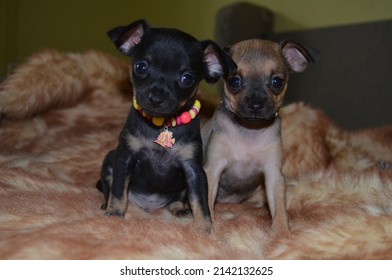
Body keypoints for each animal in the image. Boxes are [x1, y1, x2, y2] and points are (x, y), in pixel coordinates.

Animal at [98, 19, 234, 230]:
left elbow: (200, 201)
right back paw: (107, 204)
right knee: (108, 188)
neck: (162, 124)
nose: (156, 98)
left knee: (178, 199)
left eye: (187, 78)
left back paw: (180, 210)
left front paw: (203, 228)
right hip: (109, 161)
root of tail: (148, 206)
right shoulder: (124, 157)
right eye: (141, 67)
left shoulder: (193, 170)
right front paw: (114, 214)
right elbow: (118, 190)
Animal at [202, 38, 318, 233]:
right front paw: (208, 227)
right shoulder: (213, 169)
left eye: (277, 81)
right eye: (234, 81)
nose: (255, 105)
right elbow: (207, 201)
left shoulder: (273, 174)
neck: (249, 130)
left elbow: (279, 206)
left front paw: (281, 231)